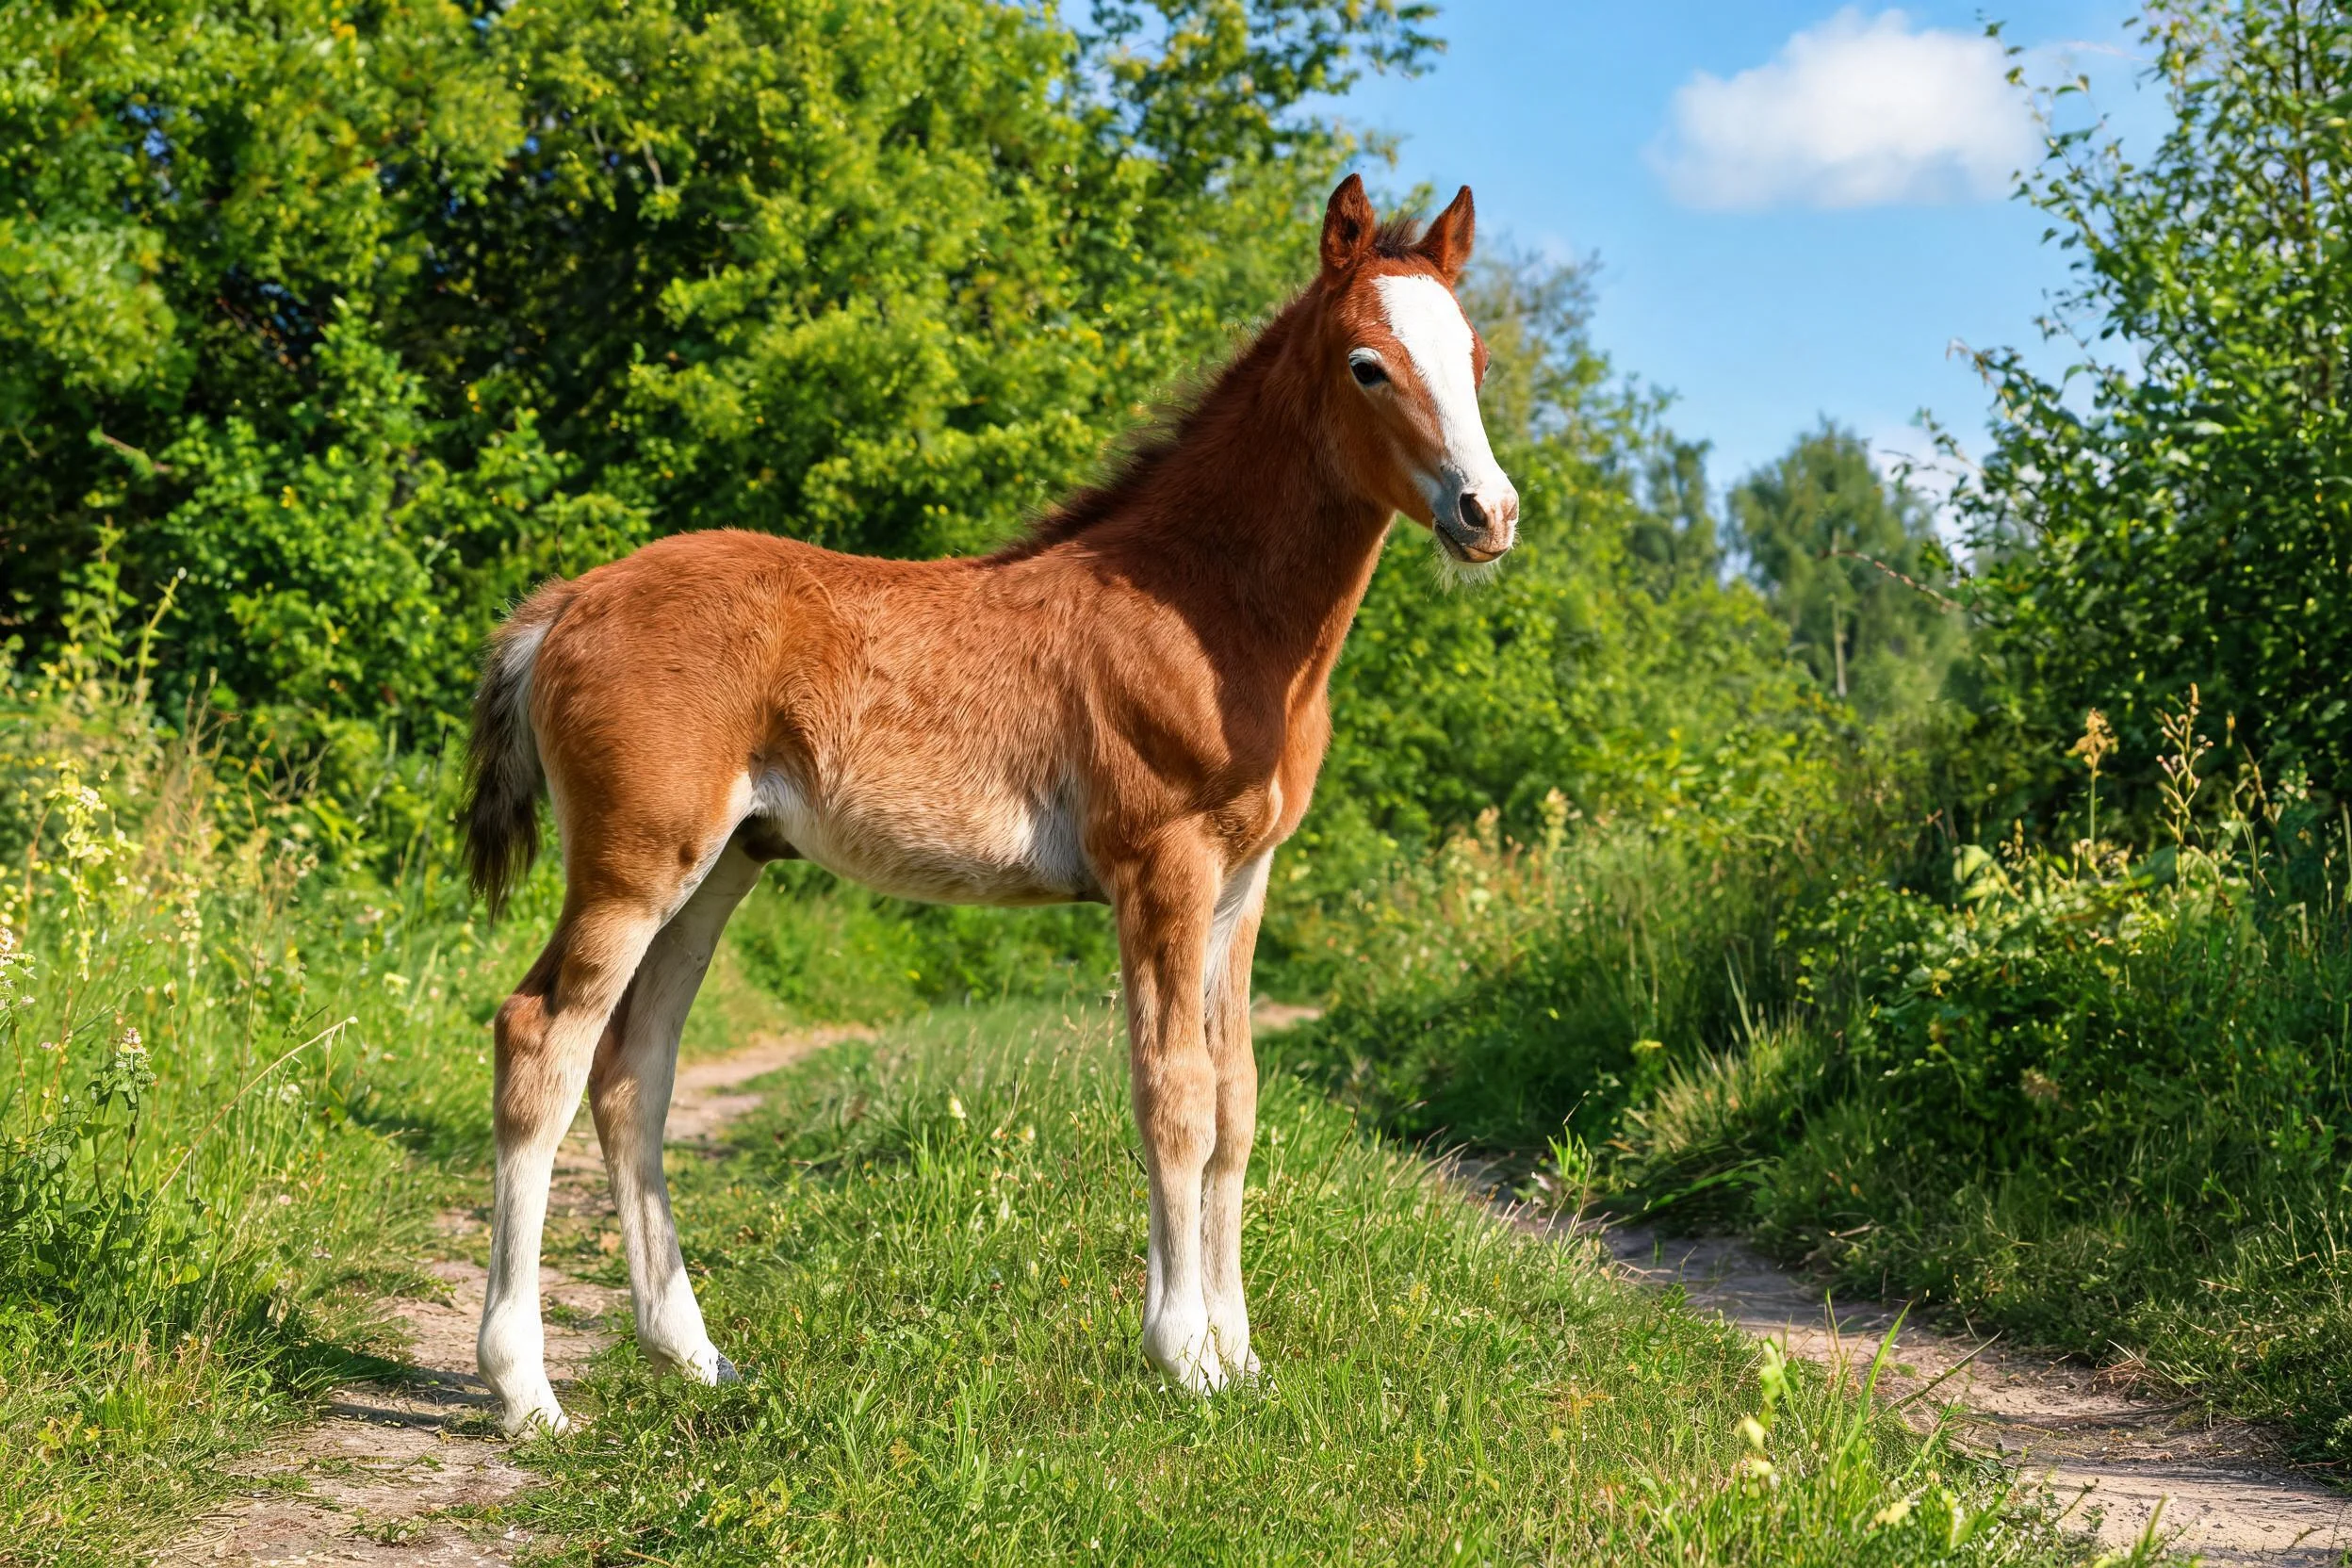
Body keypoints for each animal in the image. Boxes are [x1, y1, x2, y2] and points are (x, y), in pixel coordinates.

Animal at [460, 173, 1519, 1435]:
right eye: (1368, 364)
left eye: (1474, 357)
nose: (1488, 512)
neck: (1206, 609)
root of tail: (563, 602)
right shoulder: (1161, 866)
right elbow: (1175, 1094)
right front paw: (1185, 1355)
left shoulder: (1241, 884)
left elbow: (1238, 1104)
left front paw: (1244, 1355)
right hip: (634, 861)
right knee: (542, 1039)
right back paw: (525, 1390)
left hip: (722, 864)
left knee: (636, 1068)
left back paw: (693, 1352)